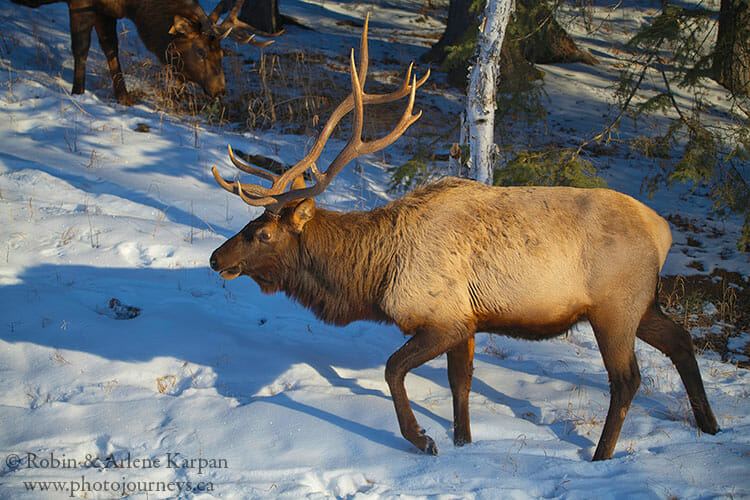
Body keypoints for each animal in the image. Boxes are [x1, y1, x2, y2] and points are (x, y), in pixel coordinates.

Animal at [11, 0, 278, 104]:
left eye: (221, 52)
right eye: (201, 51)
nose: (220, 90)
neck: (132, 6)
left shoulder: (106, 8)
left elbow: (111, 47)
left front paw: (124, 96)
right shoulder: (81, 3)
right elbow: (81, 48)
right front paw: (78, 92)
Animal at [209, 18, 720, 460]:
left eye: (263, 233)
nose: (216, 259)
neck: (373, 280)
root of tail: (664, 231)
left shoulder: (442, 317)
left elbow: (393, 369)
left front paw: (423, 439)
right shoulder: (468, 321)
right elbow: (461, 385)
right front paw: (463, 442)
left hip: (614, 307)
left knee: (627, 379)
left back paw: (601, 456)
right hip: (642, 302)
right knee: (681, 340)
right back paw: (712, 427)